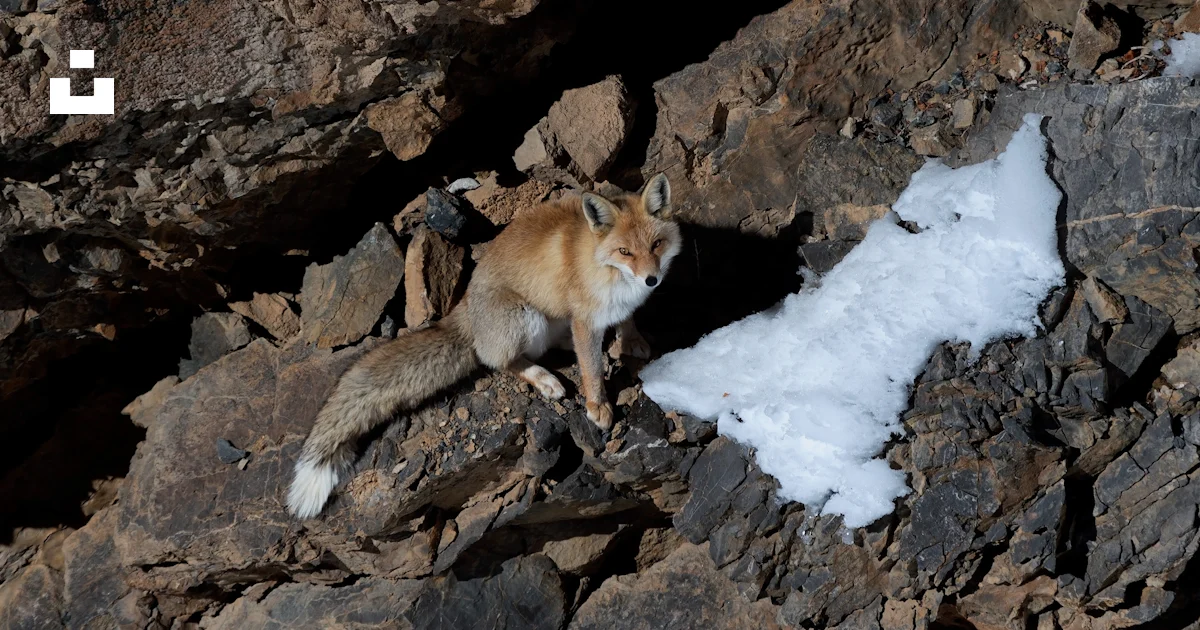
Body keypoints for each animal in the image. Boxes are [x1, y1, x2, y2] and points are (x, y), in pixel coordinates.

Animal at [286, 173, 683, 519]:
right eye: (625, 251)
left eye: (655, 245)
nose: (652, 279)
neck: (607, 269)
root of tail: (464, 310)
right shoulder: (585, 317)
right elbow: (592, 371)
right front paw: (598, 406)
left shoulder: (614, 308)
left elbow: (626, 319)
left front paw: (630, 339)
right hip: (526, 318)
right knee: (499, 360)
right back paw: (544, 379)